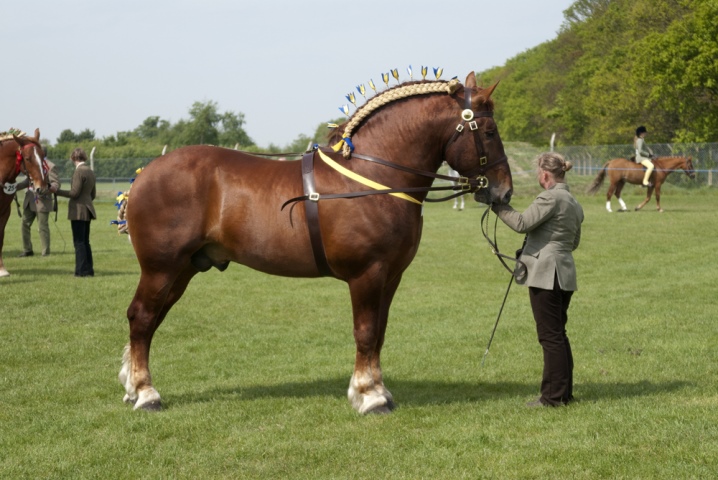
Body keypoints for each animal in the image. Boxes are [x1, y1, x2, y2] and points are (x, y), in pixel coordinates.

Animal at [0, 127, 49, 278]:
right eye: (27, 158)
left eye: (42, 157)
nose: (41, 187)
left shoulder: (5, 211)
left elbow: (0, 237)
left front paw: (2, 269)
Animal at [119, 70, 512, 412]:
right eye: (490, 131)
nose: (504, 191)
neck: (373, 176)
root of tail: (144, 175)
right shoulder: (367, 274)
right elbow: (366, 332)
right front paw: (369, 396)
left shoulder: (391, 276)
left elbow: (380, 333)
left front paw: (378, 389)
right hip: (161, 268)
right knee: (141, 318)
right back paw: (145, 392)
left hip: (182, 270)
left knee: (150, 321)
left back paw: (132, 385)